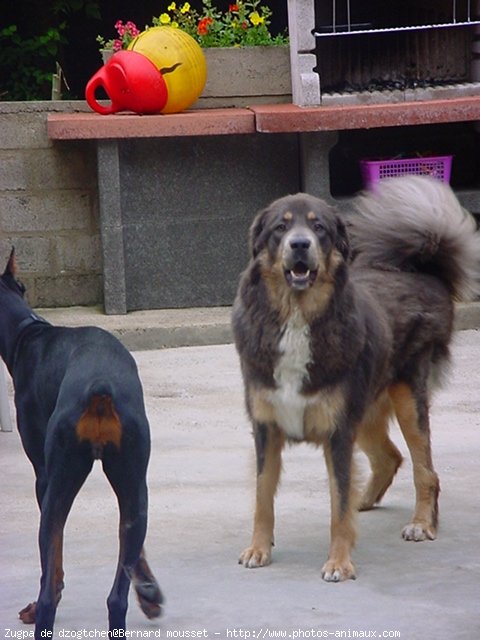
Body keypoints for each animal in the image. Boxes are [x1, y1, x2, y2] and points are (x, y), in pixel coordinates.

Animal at [232, 175, 480, 580]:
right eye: (280, 227)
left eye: (318, 227)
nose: (299, 244)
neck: (297, 317)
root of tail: (424, 272)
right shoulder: (267, 427)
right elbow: (262, 495)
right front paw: (258, 548)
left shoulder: (338, 430)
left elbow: (338, 503)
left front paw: (339, 561)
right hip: (364, 410)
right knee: (389, 458)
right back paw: (365, 501)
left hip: (407, 399)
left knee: (425, 471)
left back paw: (421, 523)